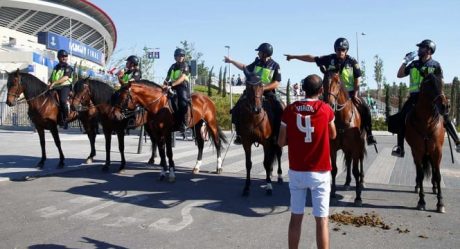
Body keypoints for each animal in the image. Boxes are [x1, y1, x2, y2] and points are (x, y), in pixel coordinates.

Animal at [324, 72, 366, 206]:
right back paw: (347, 182)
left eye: (338, 82)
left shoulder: (355, 148)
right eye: (323, 81)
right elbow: (334, 170)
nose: (330, 104)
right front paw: (332, 193)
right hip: (346, 149)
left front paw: (358, 197)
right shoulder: (332, 148)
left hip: (360, 145)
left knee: (360, 161)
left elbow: (356, 171)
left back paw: (361, 182)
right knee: (348, 161)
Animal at [406, 73, 446, 213]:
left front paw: (440, 203)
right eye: (428, 84)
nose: (444, 106)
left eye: (442, 84)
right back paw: (417, 186)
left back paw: (434, 188)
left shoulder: (437, 151)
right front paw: (421, 201)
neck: (426, 122)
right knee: (420, 171)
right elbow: (421, 174)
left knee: (434, 169)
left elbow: (438, 175)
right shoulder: (417, 151)